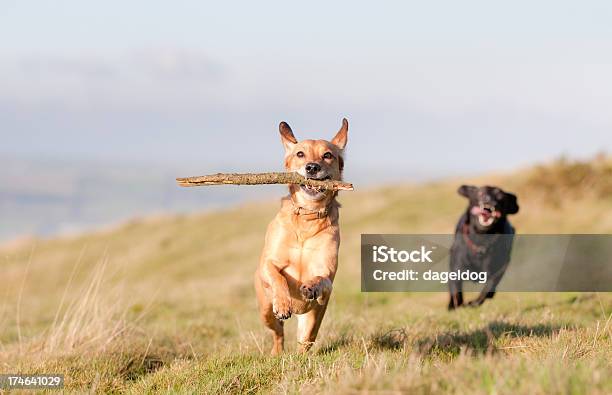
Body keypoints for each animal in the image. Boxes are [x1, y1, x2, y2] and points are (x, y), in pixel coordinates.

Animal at [255, 118, 350, 356]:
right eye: (300, 154)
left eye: (327, 155)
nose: (312, 167)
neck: (307, 217)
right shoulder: (268, 263)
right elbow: (277, 276)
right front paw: (282, 303)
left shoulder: (327, 272)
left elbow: (322, 280)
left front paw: (310, 286)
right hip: (265, 312)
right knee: (278, 332)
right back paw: (277, 352)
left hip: (313, 319)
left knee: (306, 341)